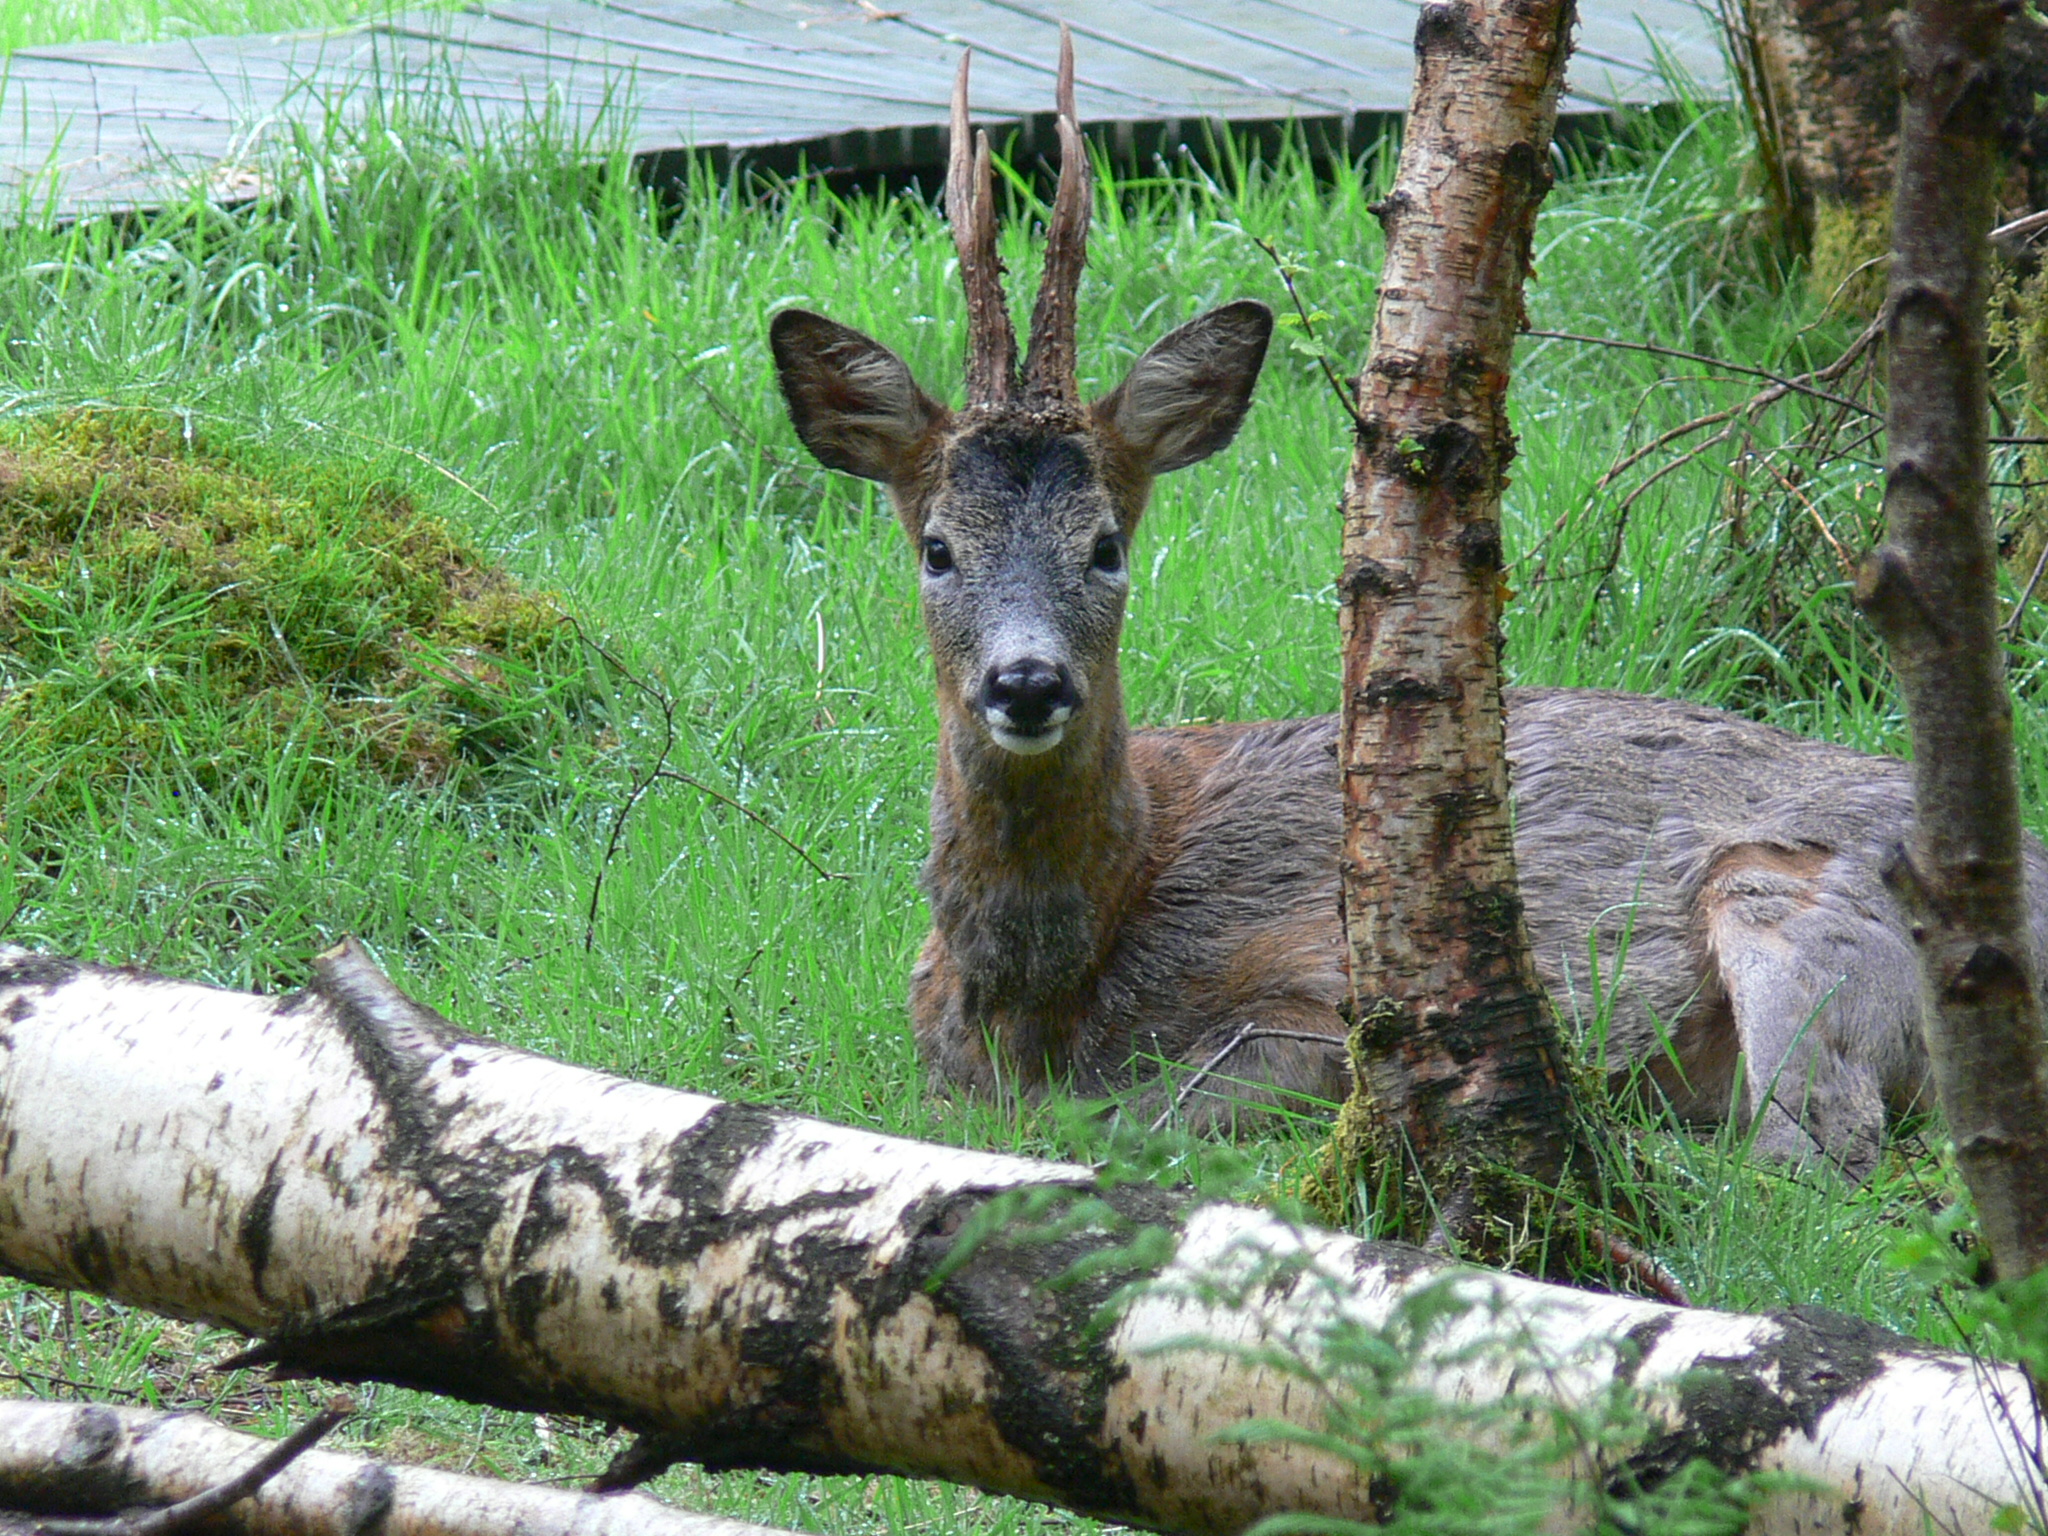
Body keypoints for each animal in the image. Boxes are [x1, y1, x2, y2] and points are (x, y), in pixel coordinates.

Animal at [770, 45, 2048, 1179]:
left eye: (1105, 546)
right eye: (937, 548)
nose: (1026, 682)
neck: (1042, 991)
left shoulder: (1323, 996)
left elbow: (1147, 1114)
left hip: (1800, 907)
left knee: (1817, 1149)